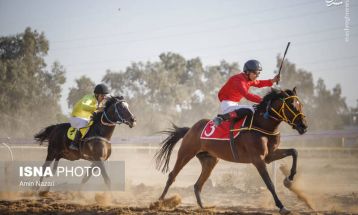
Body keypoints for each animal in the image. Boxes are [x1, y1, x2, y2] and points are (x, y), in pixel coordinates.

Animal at [155, 88, 310, 214]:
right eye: (292, 106)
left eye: (301, 105)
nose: (304, 126)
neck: (262, 126)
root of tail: (190, 129)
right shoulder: (258, 159)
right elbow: (269, 184)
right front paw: (282, 206)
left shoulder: (269, 156)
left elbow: (294, 151)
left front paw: (289, 179)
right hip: (186, 153)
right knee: (172, 176)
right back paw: (159, 203)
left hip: (210, 160)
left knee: (198, 184)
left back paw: (203, 206)